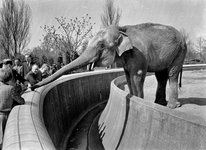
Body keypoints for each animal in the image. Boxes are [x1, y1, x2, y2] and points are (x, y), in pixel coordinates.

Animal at [30, 22, 187, 108]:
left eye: (101, 45)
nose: (32, 87)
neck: (121, 28)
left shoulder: (139, 54)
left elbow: (137, 75)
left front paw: (138, 100)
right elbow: (128, 76)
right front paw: (133, 97)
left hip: (180, 50)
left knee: (172, 73)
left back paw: (171, 107)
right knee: (161, 76)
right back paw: (159, 104)